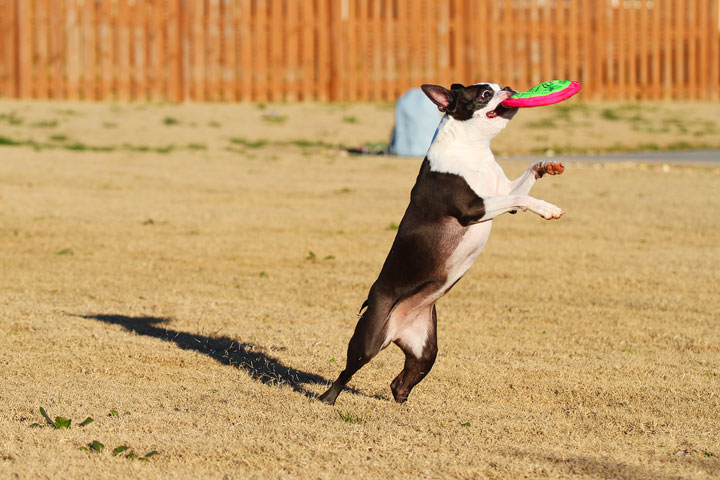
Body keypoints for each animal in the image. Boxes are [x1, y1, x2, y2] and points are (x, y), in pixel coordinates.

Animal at [320, 82, 564, 404]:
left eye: (499, 86)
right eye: (485, 94)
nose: (509, 88)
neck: (473, 148)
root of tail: (398, 329)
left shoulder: (502, 193)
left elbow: (521, 187)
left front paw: (546, 165)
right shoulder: (474, 208)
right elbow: (522, 198)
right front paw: (548, 208)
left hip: (426, 348)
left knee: (401, 381)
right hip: (369, 340)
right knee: (347, 371)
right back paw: (327, 399)